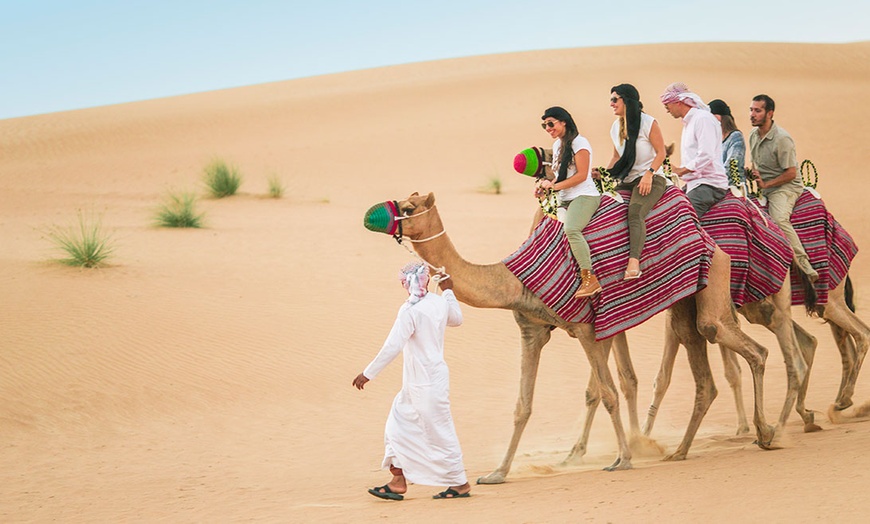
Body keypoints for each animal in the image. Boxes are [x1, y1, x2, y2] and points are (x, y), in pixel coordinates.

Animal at [364, 191, 780, 484]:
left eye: (408, 206)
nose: (371, 215)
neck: (512, 279)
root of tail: (706, 233)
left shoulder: (586, 328)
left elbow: (607, 393)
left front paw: (623, 459)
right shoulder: (531, 330)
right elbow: (523, 405)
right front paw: (497, 473)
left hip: (714, 281)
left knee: (746, 346)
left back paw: (765, 432)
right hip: (684, 302)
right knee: (706, 370)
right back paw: (682, 450)